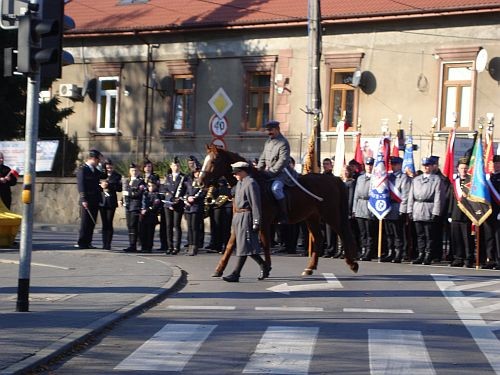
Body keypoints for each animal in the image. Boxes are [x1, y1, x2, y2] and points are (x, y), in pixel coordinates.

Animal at [199, 145, 360, 278]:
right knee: (319, 239)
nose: (200, 181)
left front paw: (266, 267)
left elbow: (265, 244)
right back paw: (310, 268)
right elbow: (230, 244)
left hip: (331, 215)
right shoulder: (240, 221)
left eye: (214, 160)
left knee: (344, 234)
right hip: (312, 218)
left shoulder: (262, 222)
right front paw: (219, 269)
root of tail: (334, 179)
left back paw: (352, 263)